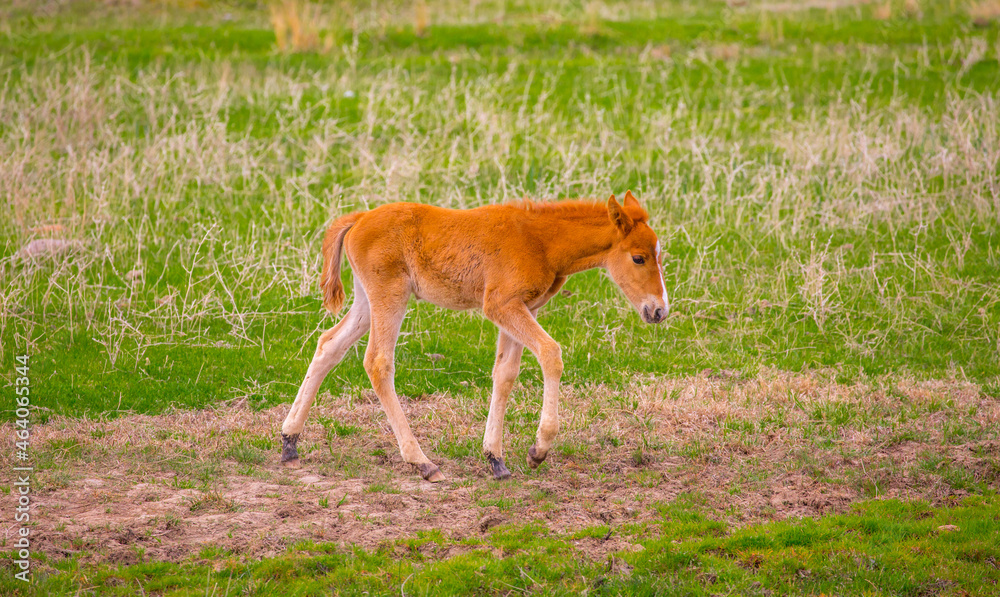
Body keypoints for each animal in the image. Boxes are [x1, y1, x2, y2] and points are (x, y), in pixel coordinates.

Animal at [279, 191, 669, 482]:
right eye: (638, 257)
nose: (659, 310)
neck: (540, 239)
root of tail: (358, 219)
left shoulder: (524, 308)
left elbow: (505, 373)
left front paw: (496, 459)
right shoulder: (501, 304)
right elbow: (551, 353)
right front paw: (538, 450)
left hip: (366, 299)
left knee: (329, 345)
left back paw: (289, 443)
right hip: (390, 294)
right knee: (378, 362)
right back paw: (423, 463)